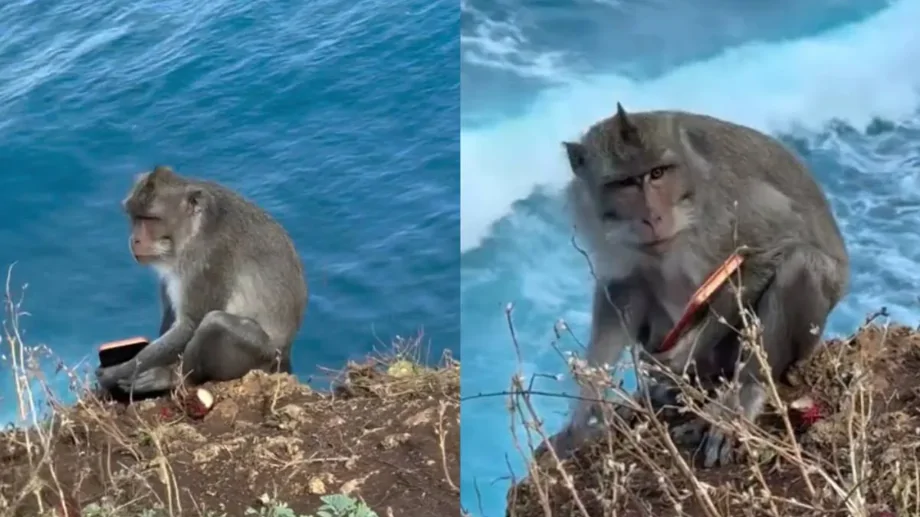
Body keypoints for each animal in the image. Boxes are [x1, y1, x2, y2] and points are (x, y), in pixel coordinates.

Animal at [95, 166, 308, 396]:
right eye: (135, 218)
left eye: (150, 219)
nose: (135, 240)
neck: (195, 230)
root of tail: (285, 358)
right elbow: (172, 315)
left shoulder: (209, 258)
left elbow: (190, 325)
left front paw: (114, 373)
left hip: (262, 358)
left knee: (215, 323)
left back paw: (173, 379)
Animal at [540, 103, 849, 468]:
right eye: (625, 182)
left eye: (657, 173)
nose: (653, 218)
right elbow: (624, 289)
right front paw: (586, 407)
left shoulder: (725, 201)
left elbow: (771, 250)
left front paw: (674, 362)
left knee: (803, 261)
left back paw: (736, 399)